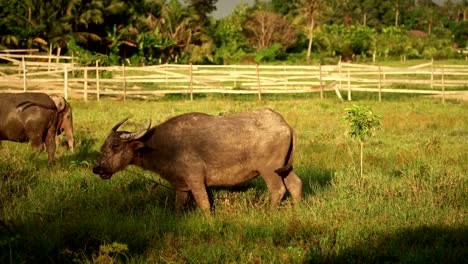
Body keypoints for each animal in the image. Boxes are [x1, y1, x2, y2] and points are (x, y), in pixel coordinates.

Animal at [93, 108, 304, 216]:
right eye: (105, 145)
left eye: (116, 145)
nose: (97, 168)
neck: (163, 145)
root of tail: (285, 125)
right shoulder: (181, 186)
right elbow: (178, 205)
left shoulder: (195, 180)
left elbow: (204, 203)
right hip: (285, 168)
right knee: (295, 184)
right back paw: (296, 208)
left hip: (269, 170)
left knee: (278, 190)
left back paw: (269, 213)